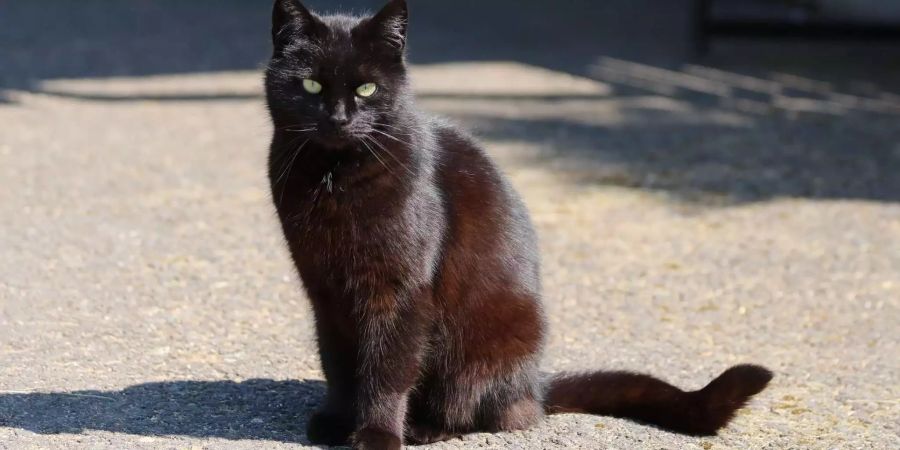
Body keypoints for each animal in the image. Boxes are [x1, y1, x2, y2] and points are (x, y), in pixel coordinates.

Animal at [262, 1, 772, 448]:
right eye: (311, 86)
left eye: (366, 89)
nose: (338, 118)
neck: (333, 179)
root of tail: (535, 386)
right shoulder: (325, 291)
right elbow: (338, 365)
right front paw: (336, 422)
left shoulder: (398, 292)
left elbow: (387, 369)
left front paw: (376, 436)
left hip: (483, 349)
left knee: (487, 412)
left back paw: (423, 428)